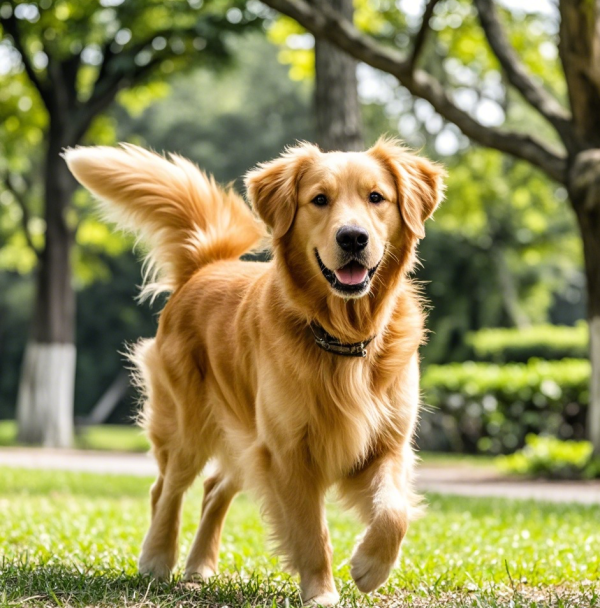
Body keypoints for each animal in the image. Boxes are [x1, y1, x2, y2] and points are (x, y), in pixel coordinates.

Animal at [65, 139, 446, 604]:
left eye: (377, 197)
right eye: (320, 199)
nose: (353, 237)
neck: (342, 337)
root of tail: (207, 264)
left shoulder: (386, 443)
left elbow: (394, 511)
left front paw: (370, 567)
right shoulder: (287, 451)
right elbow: (311, 531)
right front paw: (321, 592)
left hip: (243, 432)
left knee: (213, 489)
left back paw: (199, 566)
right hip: (190, 422)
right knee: (168, 488)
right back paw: (157, 557)